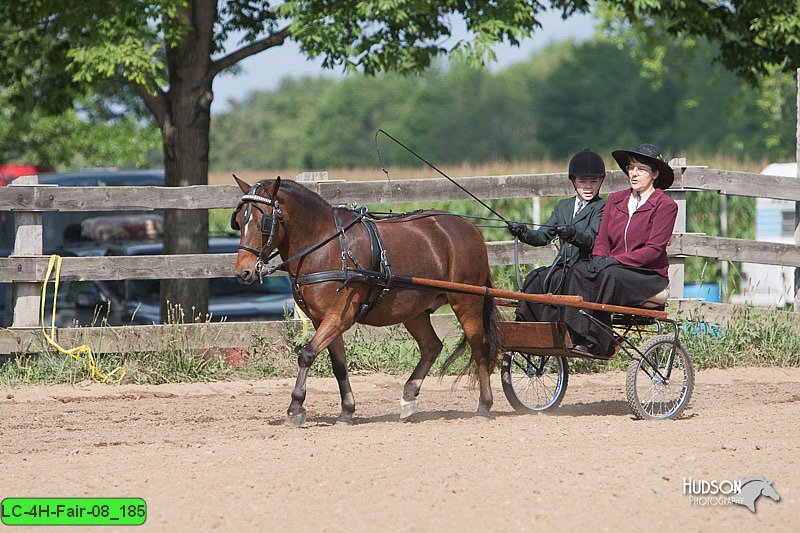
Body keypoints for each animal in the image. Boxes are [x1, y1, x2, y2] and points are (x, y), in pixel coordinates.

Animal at [231, 177, 500, 426]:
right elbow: (339, 365)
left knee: (479, 348)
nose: (243, 272)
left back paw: (484, 406)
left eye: (263, 221)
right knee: (431, 346)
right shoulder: (322, 320)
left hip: (467, 301)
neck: (325, 246)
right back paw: (408, 397)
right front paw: (346, 411)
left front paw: (295, 408)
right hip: (414, 310)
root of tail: (470, 228)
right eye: (239, 221)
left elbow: (306, 354)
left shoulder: (339, 316)